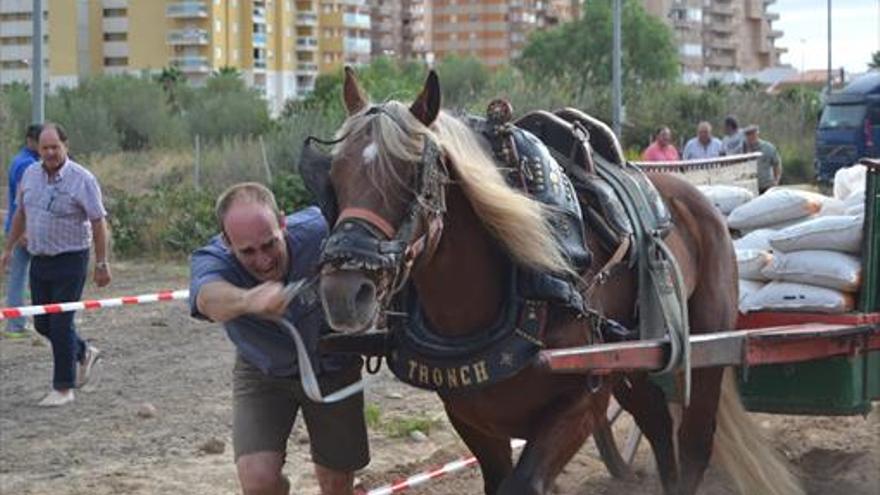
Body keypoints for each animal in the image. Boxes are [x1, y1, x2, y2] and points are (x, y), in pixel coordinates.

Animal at [318, 70, 804, 495]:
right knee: (659, 428)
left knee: (694, 445)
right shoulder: (472, 417)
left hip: (705, 348)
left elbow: (524, 484)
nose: (344, 292)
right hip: (635, 364)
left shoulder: (580, 404)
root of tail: (697, 200)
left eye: (409, 175)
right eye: (335, 174)